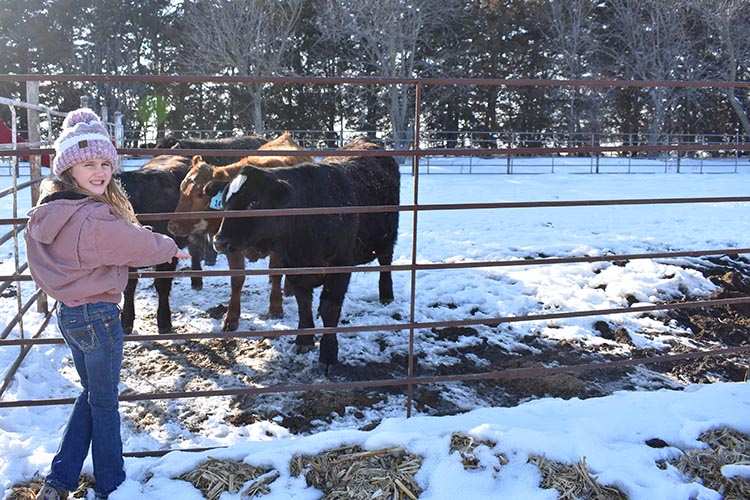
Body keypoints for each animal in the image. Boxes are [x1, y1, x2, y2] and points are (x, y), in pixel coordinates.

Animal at [118, 155, 212, 336]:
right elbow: (128, 287)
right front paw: (126, 320)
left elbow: (162, 285)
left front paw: (164, 321)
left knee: (196, 250)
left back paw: (197, 280)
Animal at [167, 131, 314, 330]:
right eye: (182, 188)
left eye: (201, 193)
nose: (172, 225)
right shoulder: (229, 246)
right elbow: (237, 280)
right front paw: (231, 317)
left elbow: (276, 273)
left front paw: (276, 307)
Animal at [213, 141, 400, 372]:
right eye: (224, 201)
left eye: (253, 202)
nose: (219, 241)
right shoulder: (292, 265)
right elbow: (304, 303)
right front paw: (304, 340)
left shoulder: (340, 263)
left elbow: (330, 307)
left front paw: (328, 353)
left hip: (387, 238)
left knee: (386, 263)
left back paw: (386, 295)